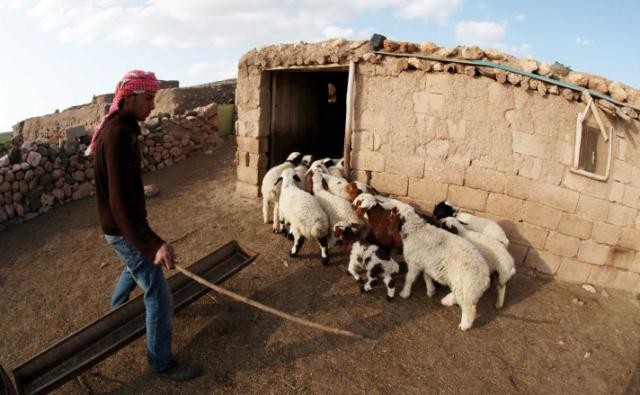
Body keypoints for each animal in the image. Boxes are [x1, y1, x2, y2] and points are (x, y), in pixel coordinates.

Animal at [390, 200, 490, 332]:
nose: (391, 209)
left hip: (466, 286)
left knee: (469, 308)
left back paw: (464, 325)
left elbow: (409, 279)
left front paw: (404, 293)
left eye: (395, 212)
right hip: (462, 286)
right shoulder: (426, 263)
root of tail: (484, 277)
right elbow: (427, 277)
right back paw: (446, 301)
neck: (415, 229)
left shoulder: (414, 263)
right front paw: (431, 291)